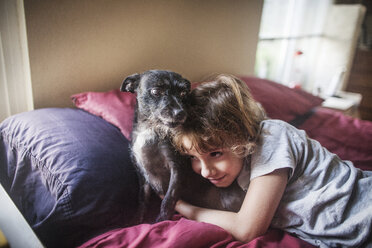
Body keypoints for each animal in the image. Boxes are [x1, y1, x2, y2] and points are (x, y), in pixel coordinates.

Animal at [120, 70, 246, 223]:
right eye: (156, 91)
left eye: (183, 93)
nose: (180, 113)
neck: (150, 129)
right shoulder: (142, 174)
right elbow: (142, 199)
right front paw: (137, 220)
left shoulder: (177, 167)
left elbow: (169, 198)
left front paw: (162, 220)